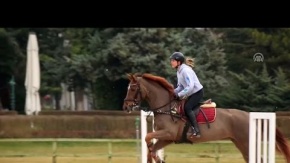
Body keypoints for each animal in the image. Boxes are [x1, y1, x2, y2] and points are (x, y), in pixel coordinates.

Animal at [122, 73, 290, 163]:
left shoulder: (168, 134)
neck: (167, 107)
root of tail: (248, 115)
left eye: (133, 89)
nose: (125, 107)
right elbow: (151, 146)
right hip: (240, 143)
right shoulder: (167, 138)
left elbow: (147, 137)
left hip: (246, 143)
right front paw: (156, 157)